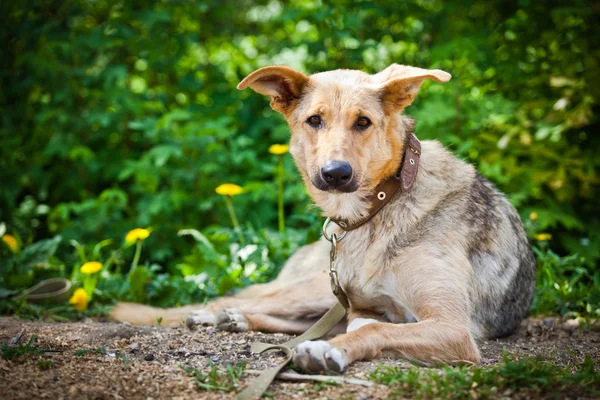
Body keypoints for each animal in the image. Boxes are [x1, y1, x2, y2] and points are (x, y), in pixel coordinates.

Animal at [111, 64, 536, 374]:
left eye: (363, 122)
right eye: (314, 120)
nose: (335, 173)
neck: (379, 209)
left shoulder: (452, 327)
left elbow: (374, 327)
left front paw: (329, 350)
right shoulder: (363, 307)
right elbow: (369, 323)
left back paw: (237, 320)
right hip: (315, 289)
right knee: (251, 301)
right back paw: (218, 316)